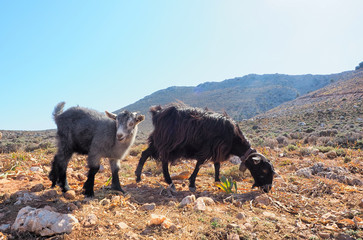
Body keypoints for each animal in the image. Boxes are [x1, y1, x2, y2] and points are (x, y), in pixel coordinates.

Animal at [136, 104, 276, 193]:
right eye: (263, 170)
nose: (267, 189)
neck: (233, 136)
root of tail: (157, 113)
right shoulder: (209, 149)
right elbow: (199, 165)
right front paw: (192, 184)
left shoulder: (217, 151)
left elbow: (217, 166)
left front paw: (219, 183)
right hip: (167, 143)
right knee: (164, 162)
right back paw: (170, 183)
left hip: (157, 142)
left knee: (144, 153)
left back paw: (138, 177)